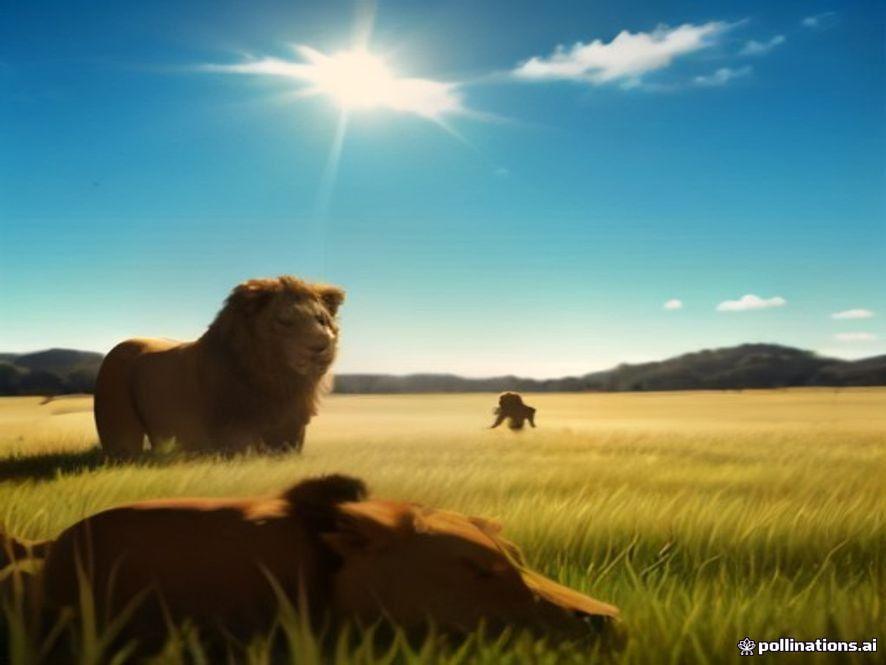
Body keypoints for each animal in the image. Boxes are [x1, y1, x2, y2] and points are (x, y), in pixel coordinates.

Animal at [94, 276, 344, 457]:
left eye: (321, 320)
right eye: (284, 321)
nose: (322, 345)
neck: (278, 381)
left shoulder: (292, 428)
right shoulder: (235, 430)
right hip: (117, 416)